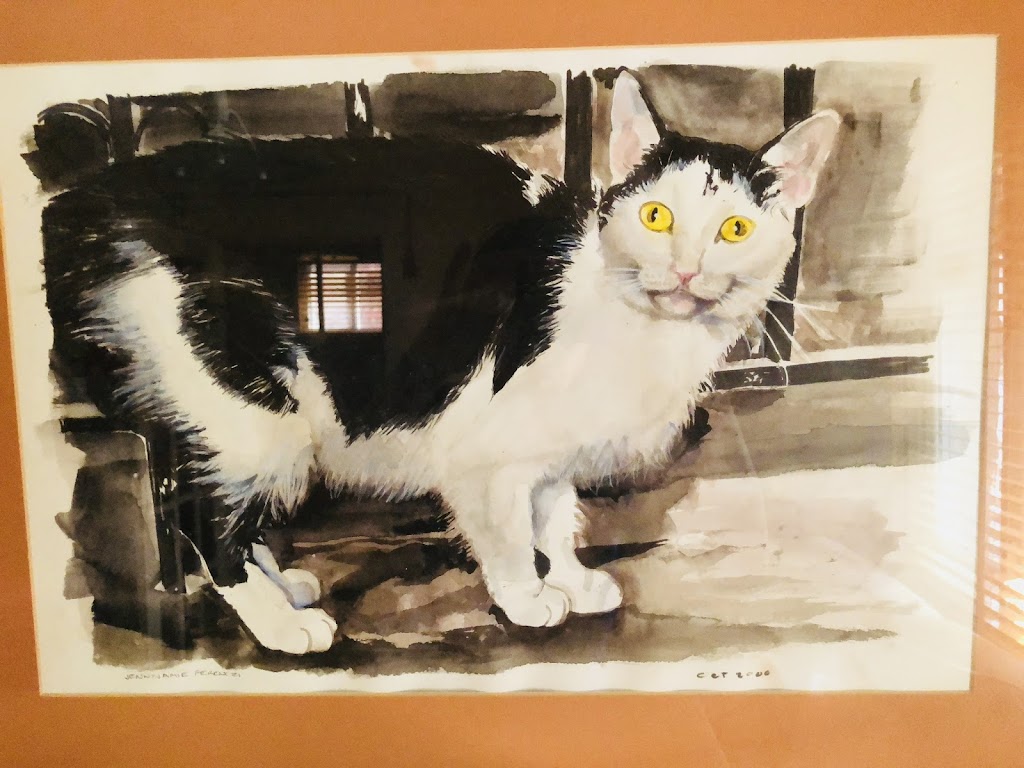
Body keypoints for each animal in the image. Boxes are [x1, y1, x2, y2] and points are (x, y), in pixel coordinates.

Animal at [40, 71, 840, 654]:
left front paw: (573, 580)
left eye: (735, 230)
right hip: (258, 413)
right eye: (655, 217)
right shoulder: (483, 451)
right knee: (201, 518)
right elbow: (510, 532)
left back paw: (284, 587)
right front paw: (528, 598)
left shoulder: (547, 451)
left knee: (216, 505)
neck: (635, 324)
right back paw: (280, 625)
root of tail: (102, 197)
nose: (684, 271)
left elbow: (555, 515)